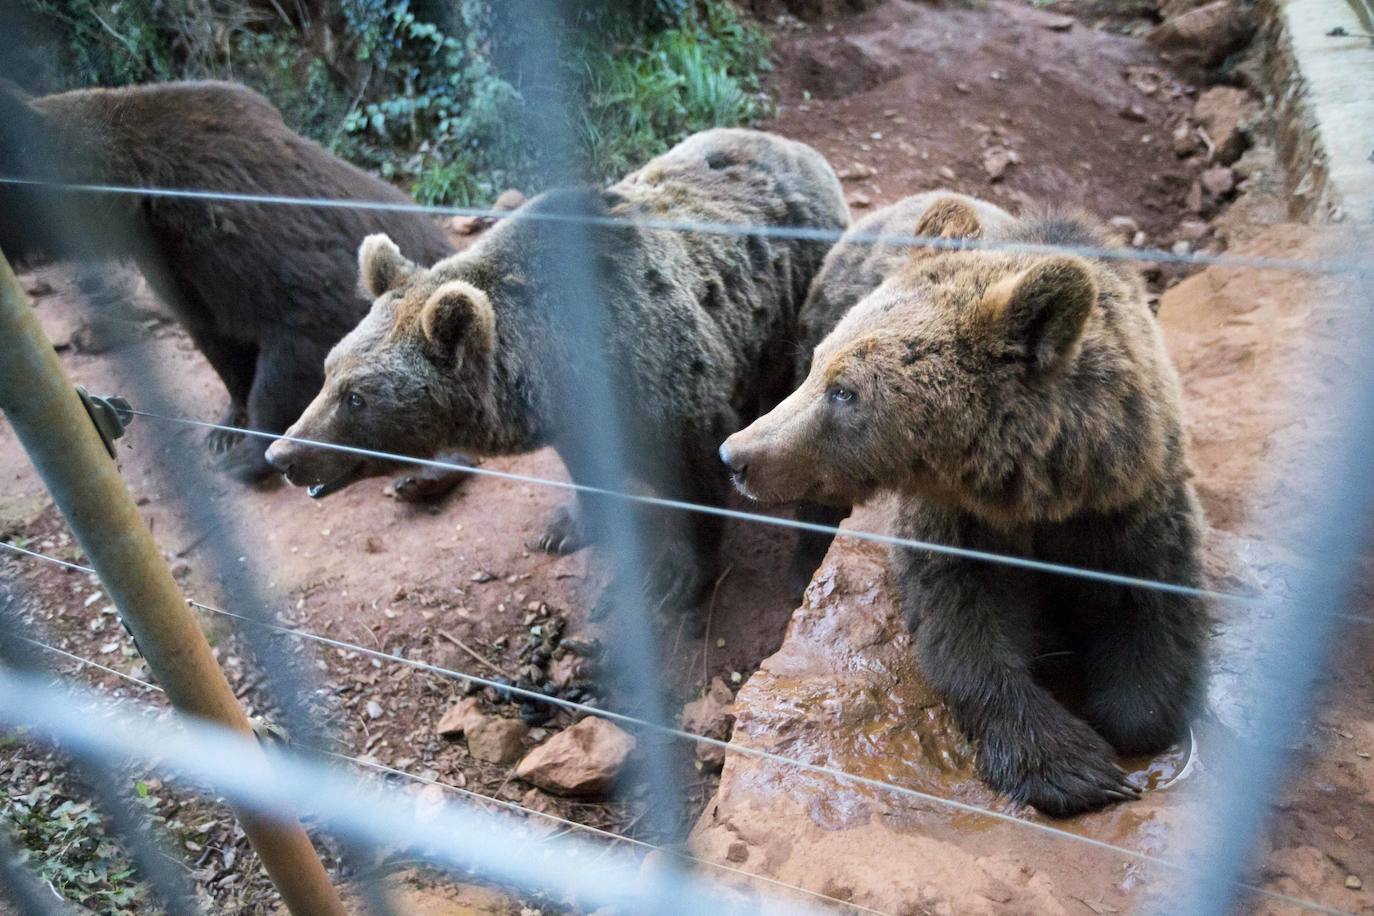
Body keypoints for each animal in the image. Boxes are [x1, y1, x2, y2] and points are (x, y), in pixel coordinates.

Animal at [0, 82, 453, 483]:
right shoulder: (181, 270)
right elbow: (219, 343)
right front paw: (225, 429)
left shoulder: (238, 230)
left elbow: (302, 326)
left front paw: (249, 454)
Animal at [263, 127, 846, 615]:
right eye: (328, 372)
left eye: (357, 397)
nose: (284, 454)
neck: (552, 355)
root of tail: (800, 150)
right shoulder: (570, 409)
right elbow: (585, 466)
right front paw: (564, 528)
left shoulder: (665, 380)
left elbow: (694, 479)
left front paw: (674, 579)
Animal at [719, 193, 1203, 818]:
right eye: (821, 371)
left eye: (845, 391)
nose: (737, 454)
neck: (1036, 486)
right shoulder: (958, 517)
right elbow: (963, 623)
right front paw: (1072, 766)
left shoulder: (1132, 497)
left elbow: (1149, 606)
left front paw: (1127, 719)